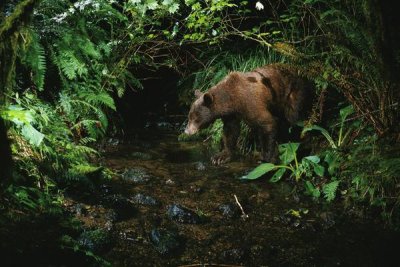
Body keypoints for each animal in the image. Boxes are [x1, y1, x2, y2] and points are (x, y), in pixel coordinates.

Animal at [184, 64, 312, 165]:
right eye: (189, 116)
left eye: (195, 118)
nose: (187, 131)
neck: (232, 99)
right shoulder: (231, 114)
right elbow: (230, 131)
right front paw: (220, 156)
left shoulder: (250, 103)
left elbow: (267, 123)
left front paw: (266, 157)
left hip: (293, 91)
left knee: (293, 117)